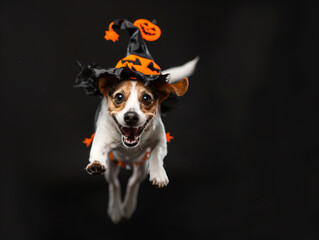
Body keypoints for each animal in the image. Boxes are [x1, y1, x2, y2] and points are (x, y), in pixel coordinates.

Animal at [84, 57, 200, 222]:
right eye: (119, 97)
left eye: (146, 98)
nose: (131, 116)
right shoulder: (100, 141)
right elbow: (97, 153)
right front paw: (96, 164)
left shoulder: (161, 141)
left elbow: (156, 154)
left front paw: (158, 174)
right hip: (111, 168)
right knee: (114, 183)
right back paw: (116, 209)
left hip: (141, 167)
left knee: (133, 182)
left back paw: (127, 207)